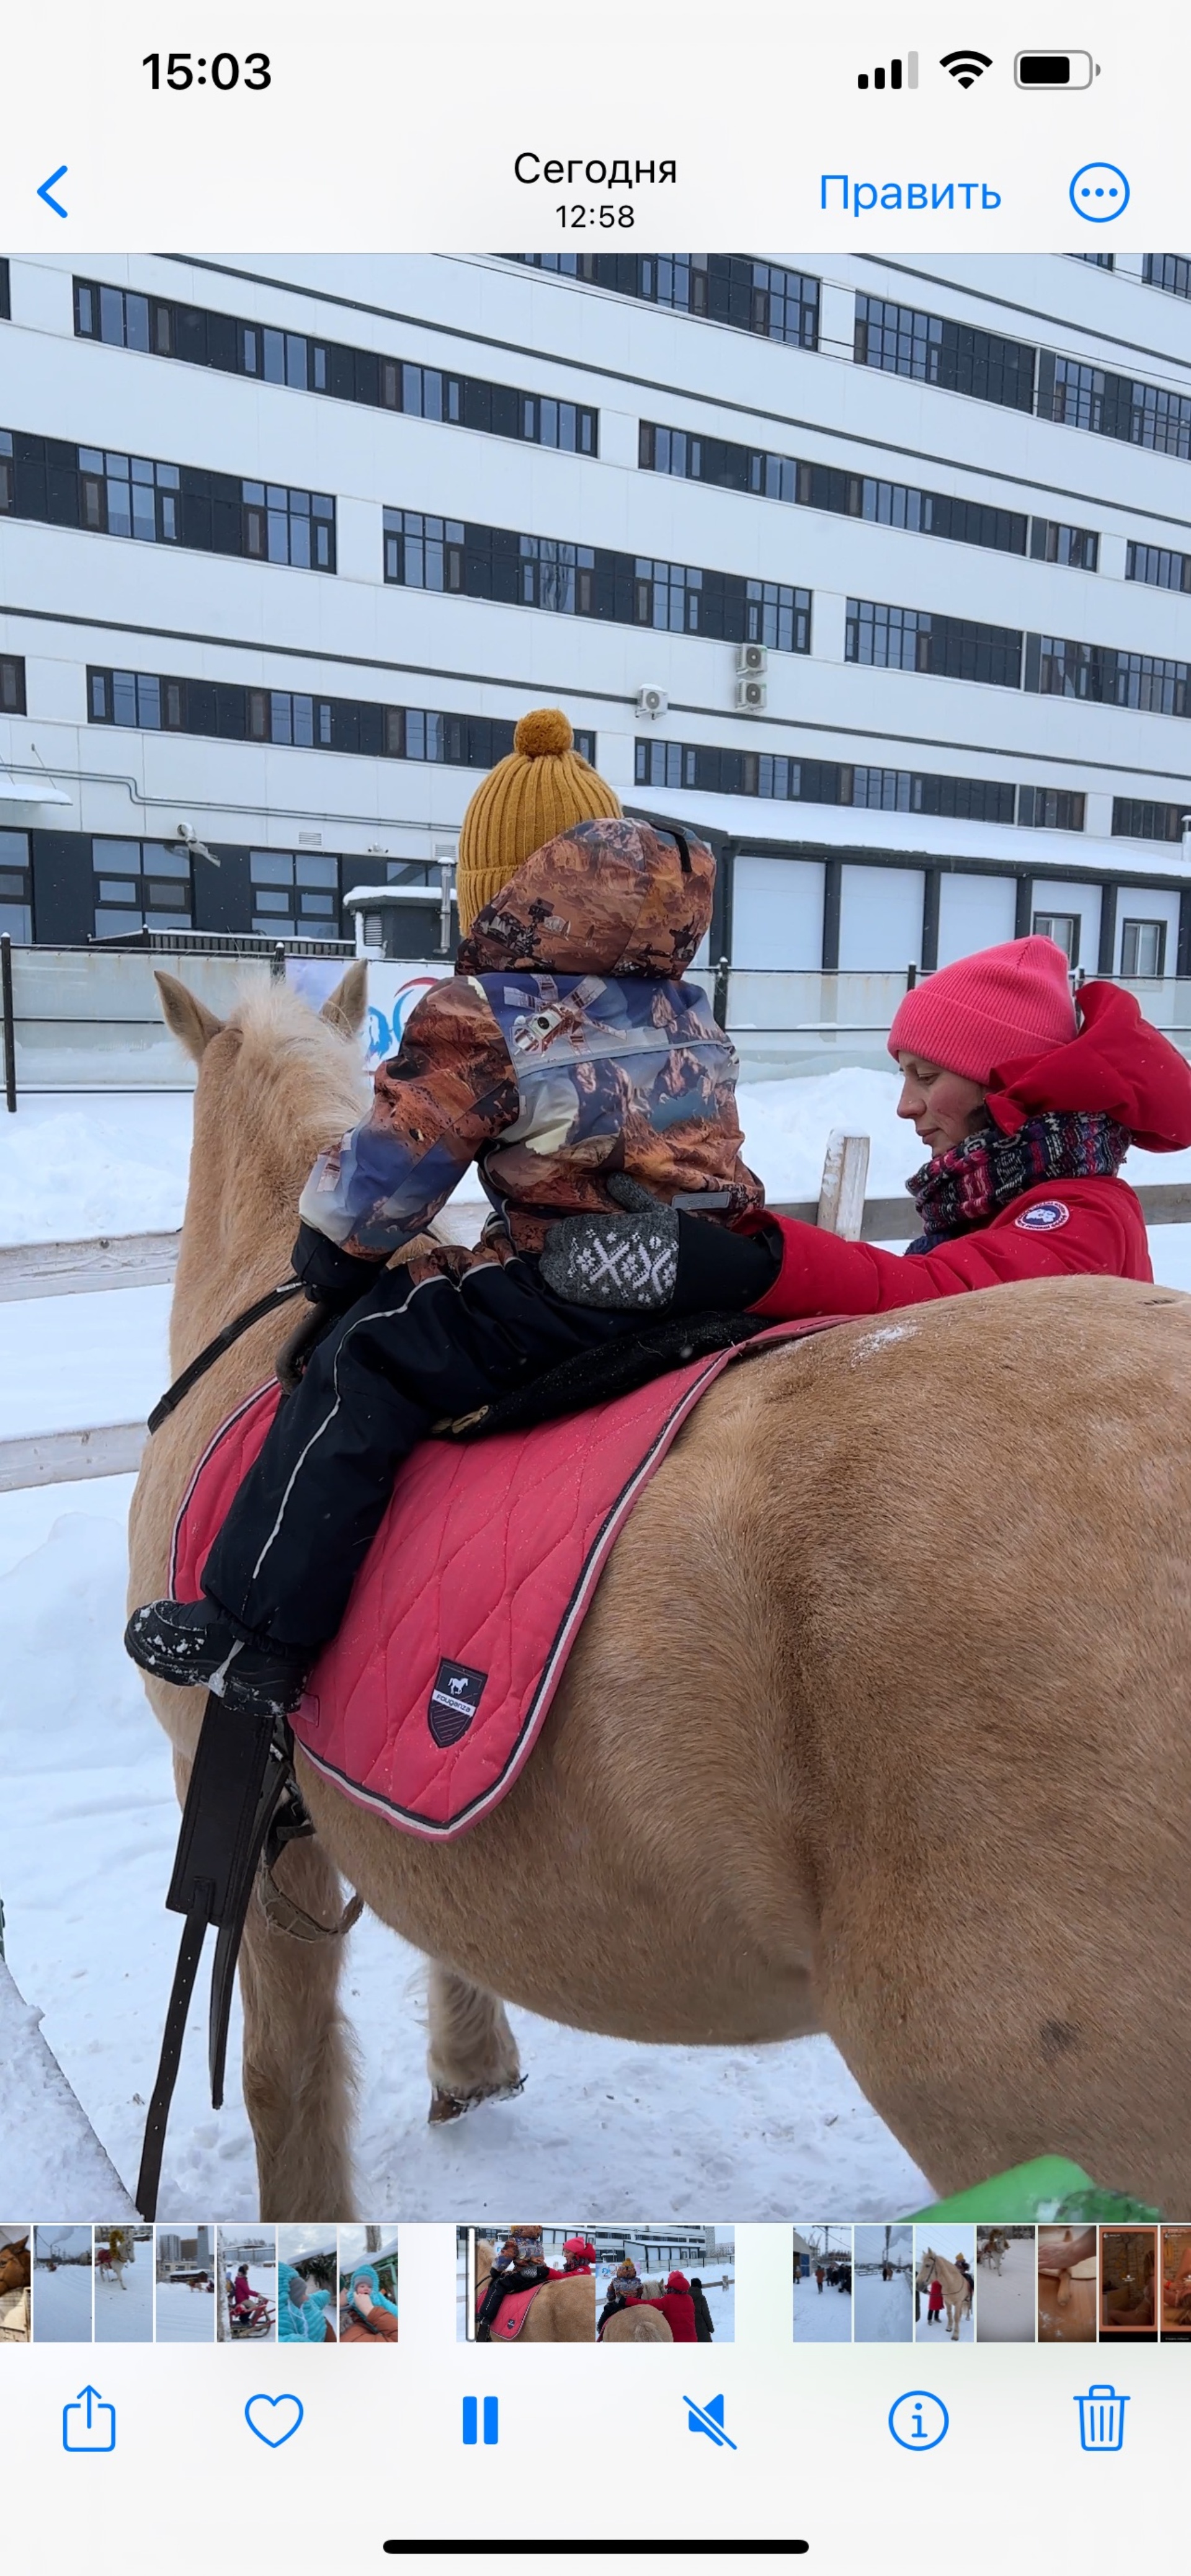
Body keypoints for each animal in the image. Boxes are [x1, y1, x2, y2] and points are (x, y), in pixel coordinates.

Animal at [917, 2246, 974, 2349]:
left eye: (927, 2265)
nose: (917, 2285)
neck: (952, 2283)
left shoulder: (958, 2302)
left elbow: (955, 2317)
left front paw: (955, 2335)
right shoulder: (947, 2302)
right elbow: (950, 2315)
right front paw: (949, 2328)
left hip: (968, 2300)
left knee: (968, 2308)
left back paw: (967, 2318)